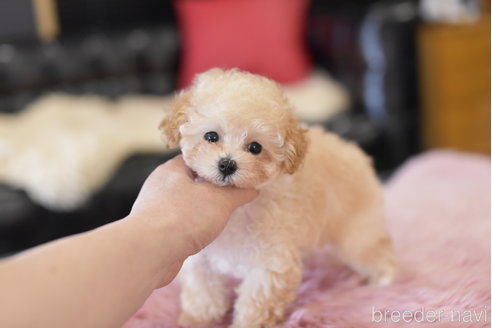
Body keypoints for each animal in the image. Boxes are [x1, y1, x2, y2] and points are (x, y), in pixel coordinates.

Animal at [160, 68, 398, 328]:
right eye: (211, 136)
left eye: (255, 147)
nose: (227, 164)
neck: (238, 210)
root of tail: (357, 153)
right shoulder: (200, 255)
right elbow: (202, 291)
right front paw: (195, 319)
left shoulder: (271, 261)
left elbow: (256, 300)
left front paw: (246, 323)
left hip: (356, 232)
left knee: (375, 249)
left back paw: (385, 278)